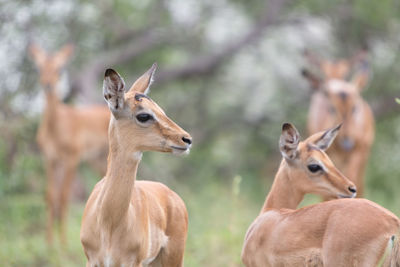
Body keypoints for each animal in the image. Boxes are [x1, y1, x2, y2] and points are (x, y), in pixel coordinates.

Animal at [29, 44, 111, 245]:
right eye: (39, 68)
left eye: (59, 69)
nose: (48, 84)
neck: (57, 125)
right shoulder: (50, 160)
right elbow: (51, 197)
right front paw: (49, 244)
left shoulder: (72, 159)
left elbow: (64, 198)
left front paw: (63, 245)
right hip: (97, 161)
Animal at [79, 63, 192, 266]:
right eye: (144, 116)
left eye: (161, 111)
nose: (186, 139)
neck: (108, 222)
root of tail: (171, 194)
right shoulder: (92, 261)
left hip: (172, 257)